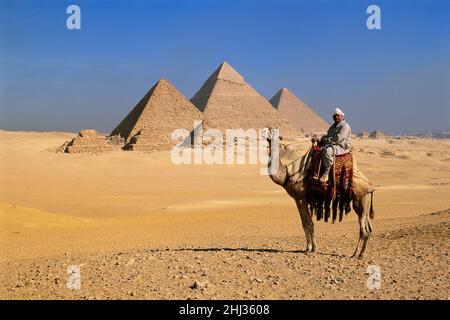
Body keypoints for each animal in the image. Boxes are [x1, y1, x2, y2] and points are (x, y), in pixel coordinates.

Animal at [262, 129, 374, 258]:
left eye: (273, 132)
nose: (263, 134)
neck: (286, 174)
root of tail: (370, 186)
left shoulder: (301, 198)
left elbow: (309, 224)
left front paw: (313, 248)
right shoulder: (297, 200)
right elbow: (304, 224)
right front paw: (307, 247)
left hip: (361, 199)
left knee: (363, 229)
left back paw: (355, 254)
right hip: (363, 202)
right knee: (369, 228)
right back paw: (362, 253)